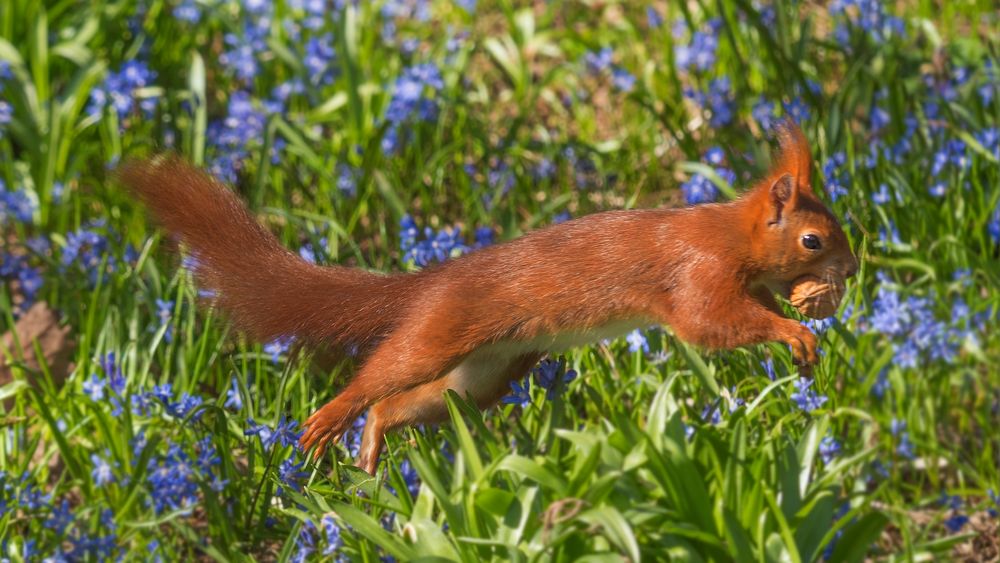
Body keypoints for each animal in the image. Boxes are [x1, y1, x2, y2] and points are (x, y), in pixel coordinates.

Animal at [121, 121, 856, 474]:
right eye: (814, 238)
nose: (850, 268)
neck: (730, 232)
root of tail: (433, 279)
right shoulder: (697, 275)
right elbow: (709, 325)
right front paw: (798, 334)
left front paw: (805, 322)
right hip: (437, 336)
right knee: (378, 377)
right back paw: (325, 423)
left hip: (485, 374)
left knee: (398, 405)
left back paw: (370, 447)